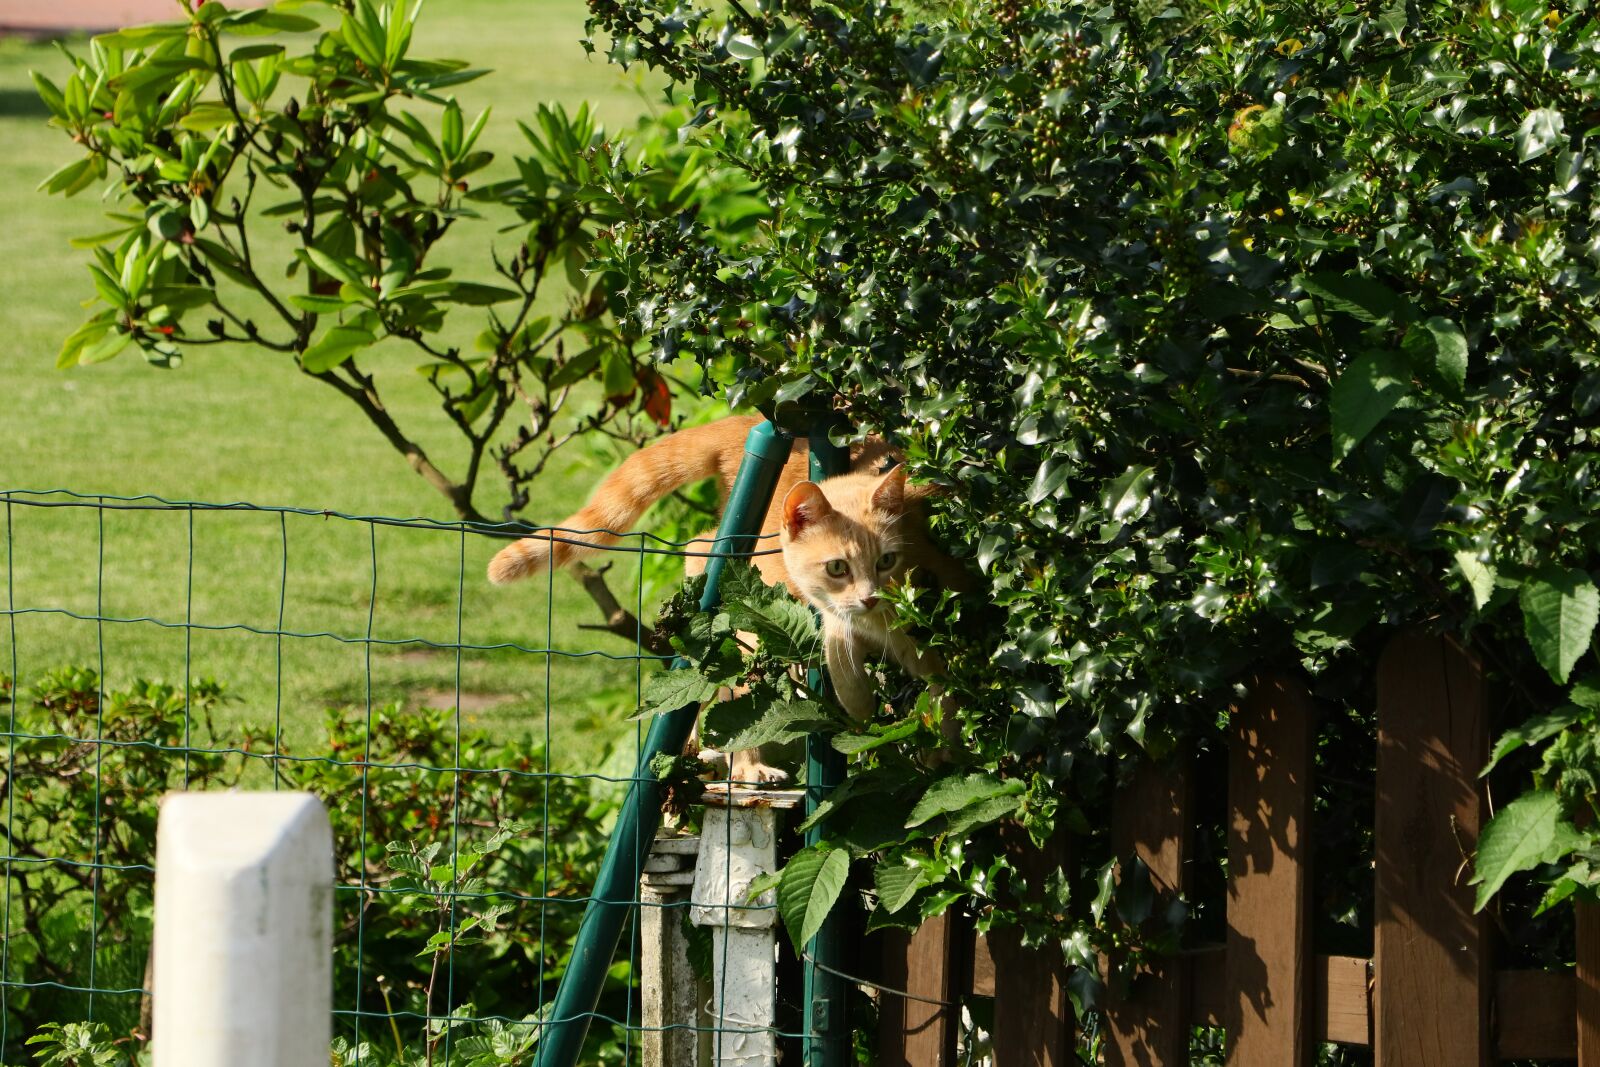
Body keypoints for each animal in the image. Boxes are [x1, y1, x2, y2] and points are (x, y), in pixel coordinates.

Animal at [486, 412, 960, 771]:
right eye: (837, 568)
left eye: (887, 561)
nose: (871, 596)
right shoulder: (836, 611)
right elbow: (843, 647)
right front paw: (861, 704)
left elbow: (945, 689)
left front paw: (939, 746)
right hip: (727, 560)